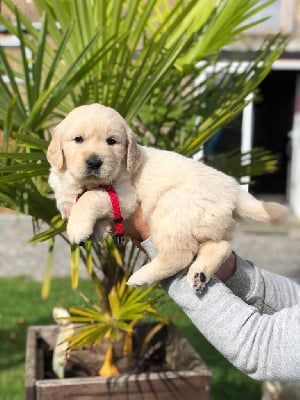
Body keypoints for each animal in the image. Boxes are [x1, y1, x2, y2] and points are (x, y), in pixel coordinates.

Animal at [47, 103, 288, 290]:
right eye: (78, 139)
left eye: (112, 141)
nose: (94, 162)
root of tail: (234, 189)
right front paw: (98, 229)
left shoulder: (124, 194)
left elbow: (91, 198)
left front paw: (78, 228)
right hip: (212, 223)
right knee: (222, 245)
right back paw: (200, 273)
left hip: (171, 209)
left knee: (180, 254)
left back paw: (142, 276)